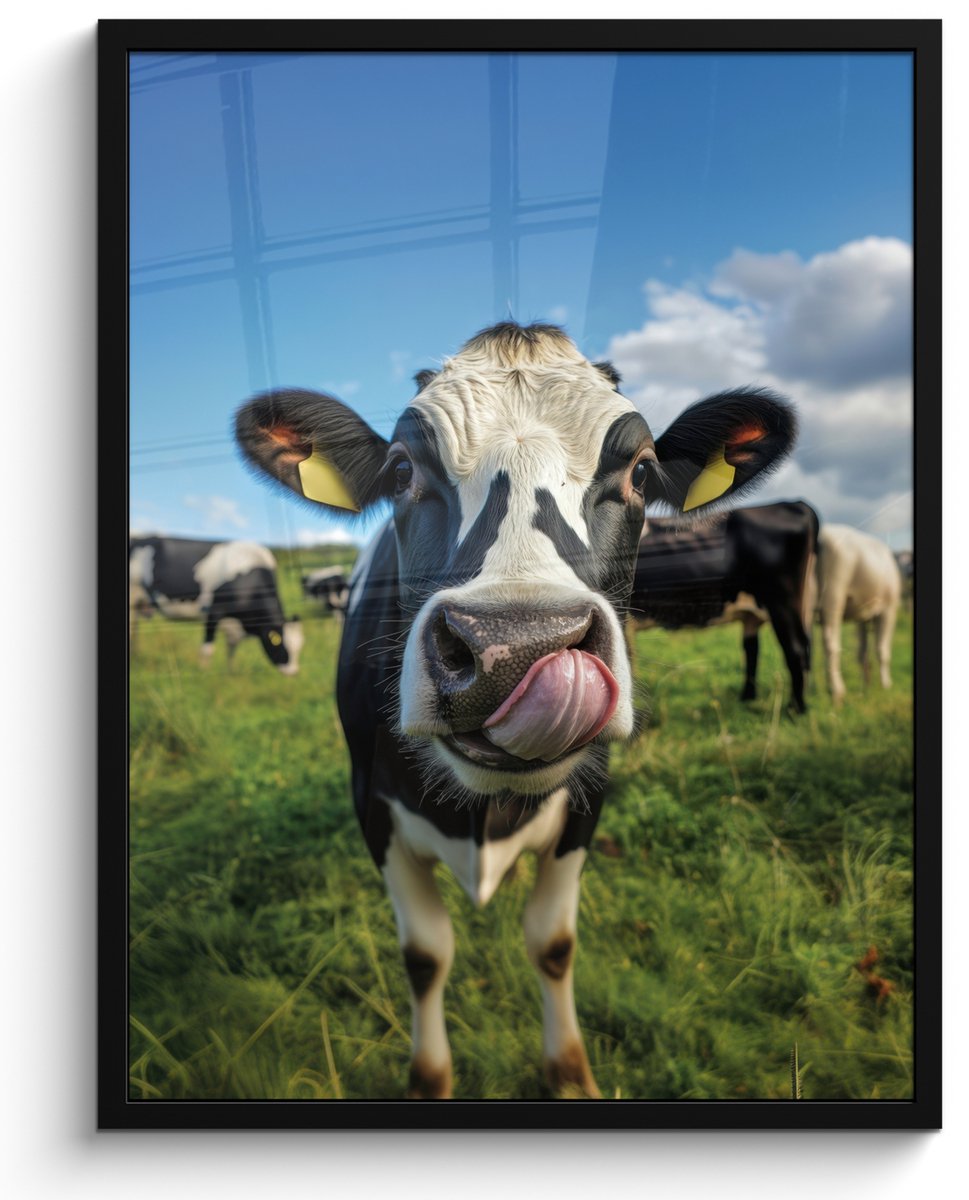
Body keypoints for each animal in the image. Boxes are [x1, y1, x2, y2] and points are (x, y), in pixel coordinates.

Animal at [128, 535, 304, 674]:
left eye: (299, 646)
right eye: (280, 643)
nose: (293, 672)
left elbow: (231, 649)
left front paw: (231, 672)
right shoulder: (213, 611)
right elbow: (208, 649)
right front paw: (204, 673)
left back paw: (136, 655)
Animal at [234, 321, 796, 1098]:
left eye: (642, 473)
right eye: (401, 471)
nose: (514, 648)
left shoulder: (588, 801)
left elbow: (552, 944)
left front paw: (570, 1072)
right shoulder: (372, 805)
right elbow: (425, 954)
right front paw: (429, 1077)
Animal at [628, 501, 820, 713]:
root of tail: (793, 503)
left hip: (782, 600)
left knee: (795, 649)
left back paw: (795, 708)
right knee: (758, 648)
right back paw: (749, 698)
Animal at [816, 524, 902, 704]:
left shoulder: (863, 617)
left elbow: (862, 653)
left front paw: (866, 686)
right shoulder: (889, 610)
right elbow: (882, 650)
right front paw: (886, 685)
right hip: (833, 594)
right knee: (831, 643)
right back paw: (837, 692)